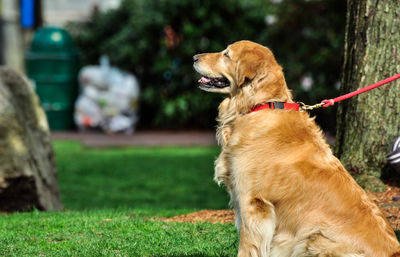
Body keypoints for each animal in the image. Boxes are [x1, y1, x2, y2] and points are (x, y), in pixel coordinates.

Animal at [192, 39, 398, 254]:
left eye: (226, 54)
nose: (194, 57)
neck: (260, 105)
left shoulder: (252, 202)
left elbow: (247, 247)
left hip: (315, 237)